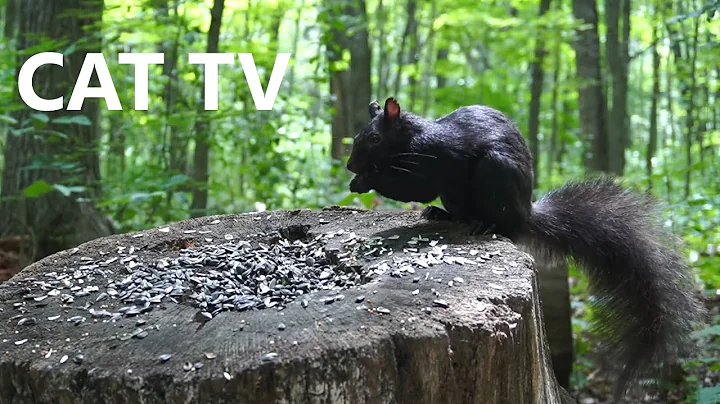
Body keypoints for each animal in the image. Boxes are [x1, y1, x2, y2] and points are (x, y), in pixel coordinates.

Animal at [346, 97, 706, 401]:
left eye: (374, 138)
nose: (350, 166)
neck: (411, 139)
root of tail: (526, 214)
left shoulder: (433, 159)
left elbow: (411, 186)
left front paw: (364, 181)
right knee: (459, 213)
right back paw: (441, 214)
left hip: (497, 174)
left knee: (502, 225)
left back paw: (485, 225)